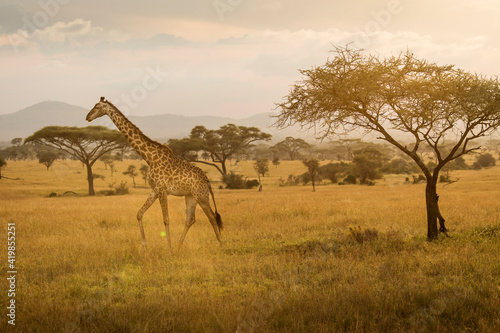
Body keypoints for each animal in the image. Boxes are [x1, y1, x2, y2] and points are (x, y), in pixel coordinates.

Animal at [86, 96, 223, 249]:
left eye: (97, 107)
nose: (88, 117)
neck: (149, 158)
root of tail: (207, 180)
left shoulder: (162, 190)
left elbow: (166, 219)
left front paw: (168, 249)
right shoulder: (155, 189)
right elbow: (139, 214)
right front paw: (144, 246)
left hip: (201, 196)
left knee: (212, 217)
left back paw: (220, 244)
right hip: (190, 196)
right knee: (190, 219)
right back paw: (179, 246)